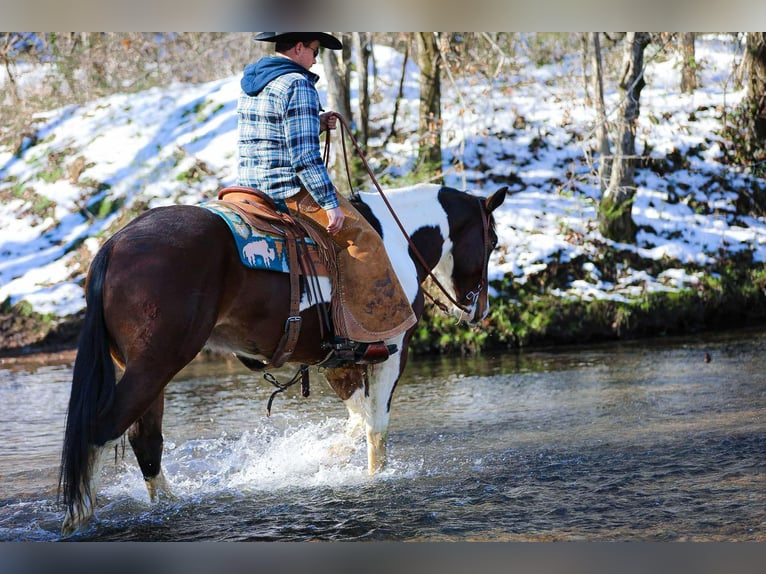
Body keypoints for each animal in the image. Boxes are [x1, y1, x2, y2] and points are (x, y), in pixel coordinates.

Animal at [58, 182, 507, 535]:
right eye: (493, 243)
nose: (479, 310)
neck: (396, 241)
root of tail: (114, 244)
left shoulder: (338, 362)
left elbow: (356, 421)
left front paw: (318, 459)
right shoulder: (393, 351)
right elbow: (375, 426)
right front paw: (373, 480)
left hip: (145, 369)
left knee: (145, 440)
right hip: (157, 364)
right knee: (102, 431)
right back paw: (79, 518)